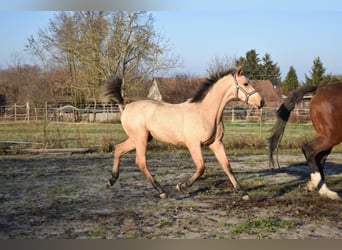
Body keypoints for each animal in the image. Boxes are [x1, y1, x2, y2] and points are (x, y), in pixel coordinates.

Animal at [101, 66, 264, 197]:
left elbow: (227, 166)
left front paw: (243, 192)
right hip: (140, 138)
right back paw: (161, 191)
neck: (206, 112)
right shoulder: (193, 144)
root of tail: (126, 107)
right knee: (140, 162)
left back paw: (111, 180)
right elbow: (201, 167)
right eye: (246, 83)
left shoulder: (216, 143)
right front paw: (181, 186)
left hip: (140, 138)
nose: (261, 102)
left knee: (118, 149)